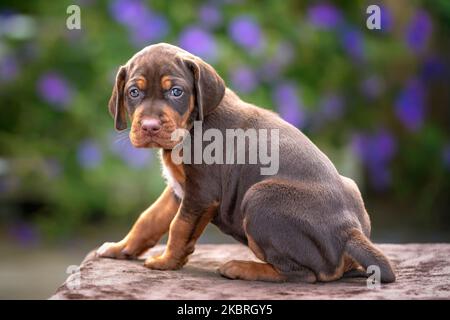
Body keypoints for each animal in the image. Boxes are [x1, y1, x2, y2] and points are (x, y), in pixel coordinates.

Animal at [96, 43, 396, 284]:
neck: (193, 124)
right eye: (134, 92)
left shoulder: (201, 193)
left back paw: (241, 267)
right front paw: (121, 249)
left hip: (259, 197)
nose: (149, 127)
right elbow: (149, 218)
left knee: (302, 274)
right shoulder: (180, 188)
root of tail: (349, 231)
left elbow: (178, 227)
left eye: (177, 92)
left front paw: (166, 262)